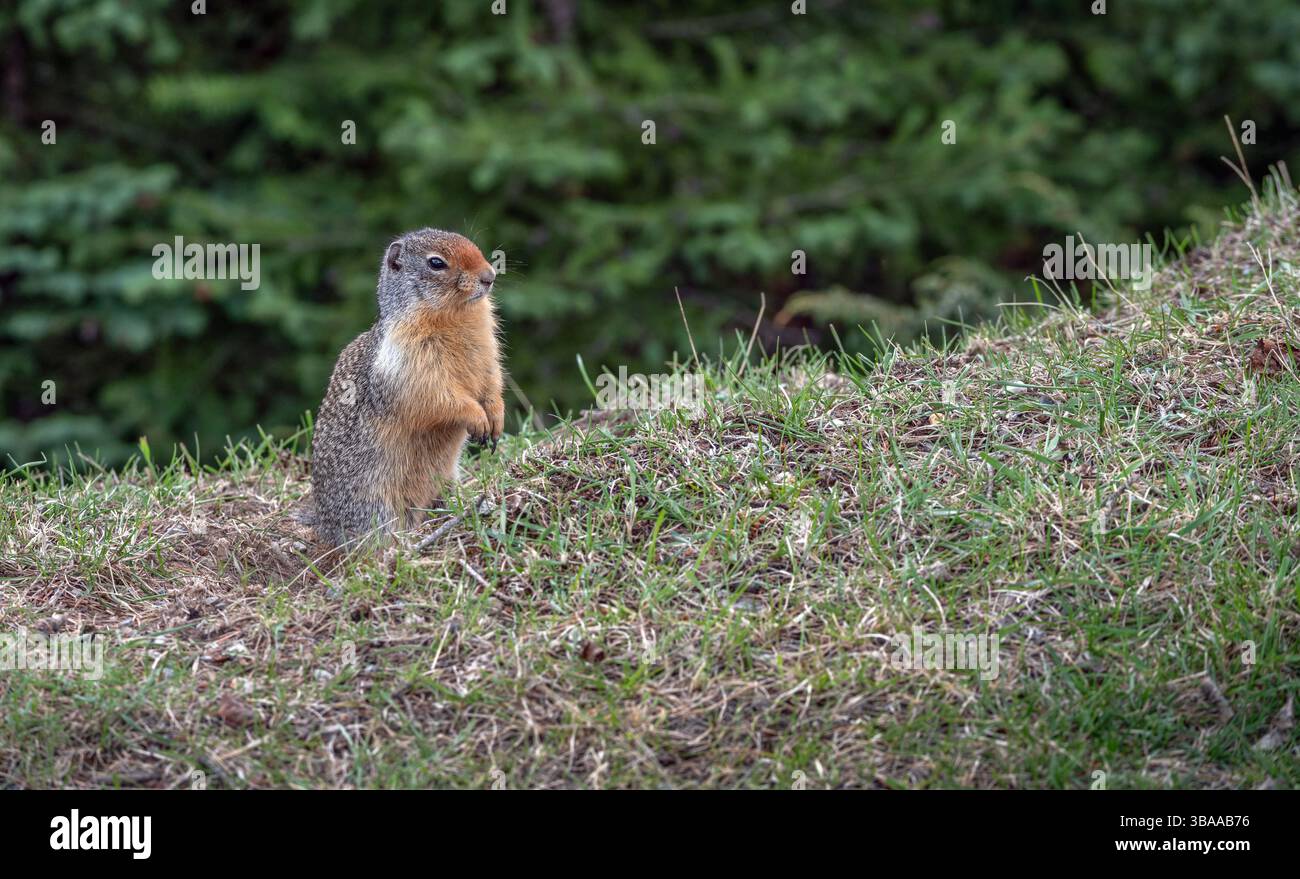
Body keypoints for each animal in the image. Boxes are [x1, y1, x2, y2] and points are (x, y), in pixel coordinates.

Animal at [308, 228, 504, 548]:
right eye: (436, 263)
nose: (490, 276)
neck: (457, 316)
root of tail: (324, 529)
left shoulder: (486, 351)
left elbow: (491, 381)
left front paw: (496, 416)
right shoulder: (411, 362)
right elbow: (439, 396)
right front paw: (476, 417)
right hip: (374, 506)